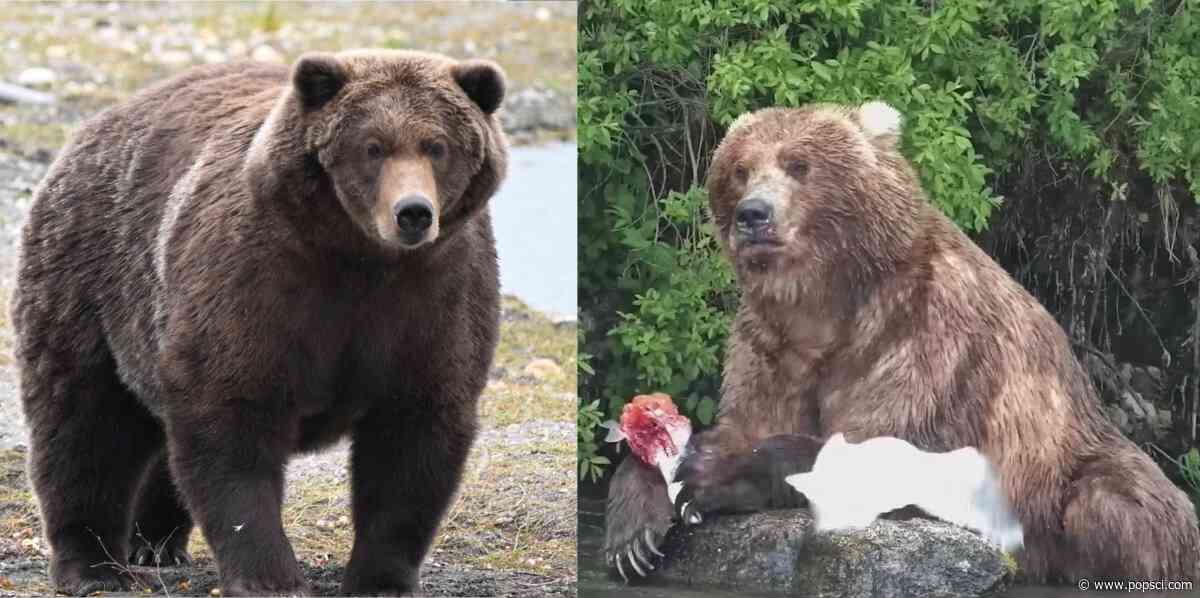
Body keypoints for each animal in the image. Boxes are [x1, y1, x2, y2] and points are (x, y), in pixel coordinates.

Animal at [13, 49, 507, 596]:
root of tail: (95, 125)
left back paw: (156, 542)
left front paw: (380, 578)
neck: (359, 259)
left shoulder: (433, 297)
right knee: (83, 422)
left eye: (436, 145)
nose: (413, 213)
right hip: (91, 283)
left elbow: (414, 434)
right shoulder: (258, 281)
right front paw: (271, 576)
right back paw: (93, 566)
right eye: (372, 146)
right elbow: (232, 420)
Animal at [604, 101, 1200, 583]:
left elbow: (888, 448)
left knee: (1111, 508)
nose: (754, 214)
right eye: (740, 169)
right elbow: (747, 418)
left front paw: (712, 475)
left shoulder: (923, 333)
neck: (826, 301)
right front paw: (635, 530)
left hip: (1078, 468)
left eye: (799, 164)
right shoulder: (771, 343)